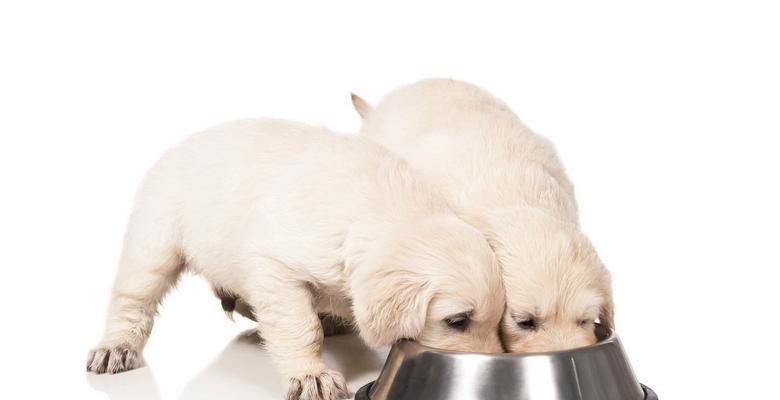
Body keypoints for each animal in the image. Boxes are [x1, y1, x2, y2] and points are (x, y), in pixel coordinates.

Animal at [85, 117, 502, 398]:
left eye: (499, 323)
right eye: (457, 321)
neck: (389, 209)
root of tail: (177, 146)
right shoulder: (276, 267)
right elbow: (300, 326)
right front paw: (310, 375)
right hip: (155, 239)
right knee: (133, 298)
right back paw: (116, 348)